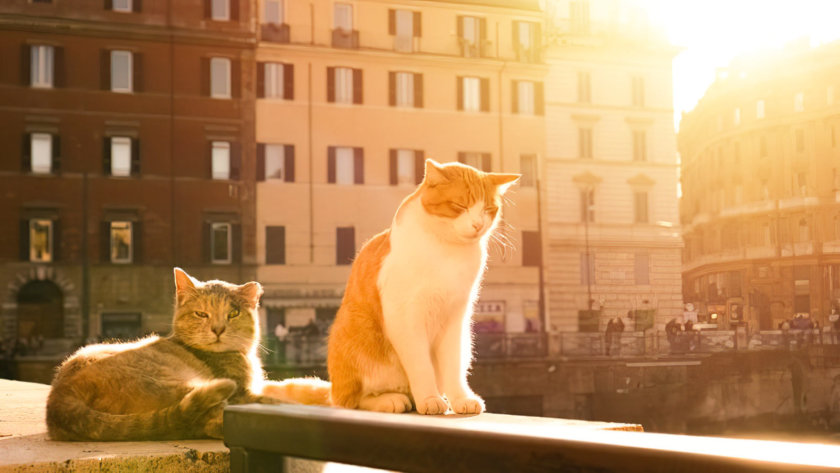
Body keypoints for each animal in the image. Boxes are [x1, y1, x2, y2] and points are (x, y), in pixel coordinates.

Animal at [45, 268, 328, 440]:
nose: (218, 329)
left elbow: (290, 386)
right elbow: (279, 396)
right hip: (176, 380)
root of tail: (60, 400)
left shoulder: (257, 385)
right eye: (201, 313)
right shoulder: (242, 391)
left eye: (233, 313)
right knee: (206, 420)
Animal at [328, 159, 520, 412]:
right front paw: (429, 399)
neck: (447, 251)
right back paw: (390, 400)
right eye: (459, 205)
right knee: (353, 399)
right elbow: (421, 366)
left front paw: (460, 399)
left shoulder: (456, 316)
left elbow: (453, 366)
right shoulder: (405, 318)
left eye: (488, 209)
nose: (478, 225)